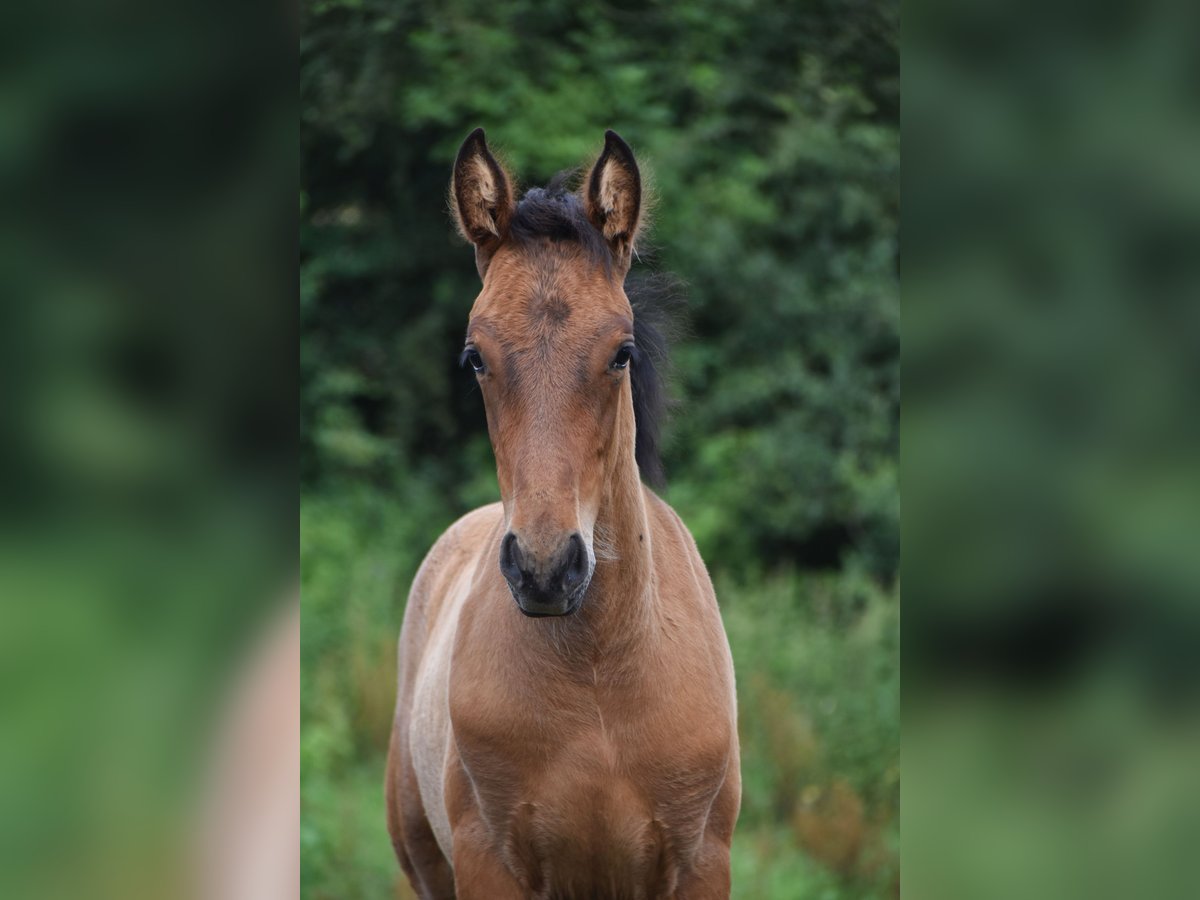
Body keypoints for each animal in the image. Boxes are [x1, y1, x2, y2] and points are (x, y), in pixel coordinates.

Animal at [384, 128, 739, 900]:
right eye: (474, 357)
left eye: (622, 353)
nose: (545, 570)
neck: (599, 674)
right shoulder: (488, 863)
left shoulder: (703, 863)